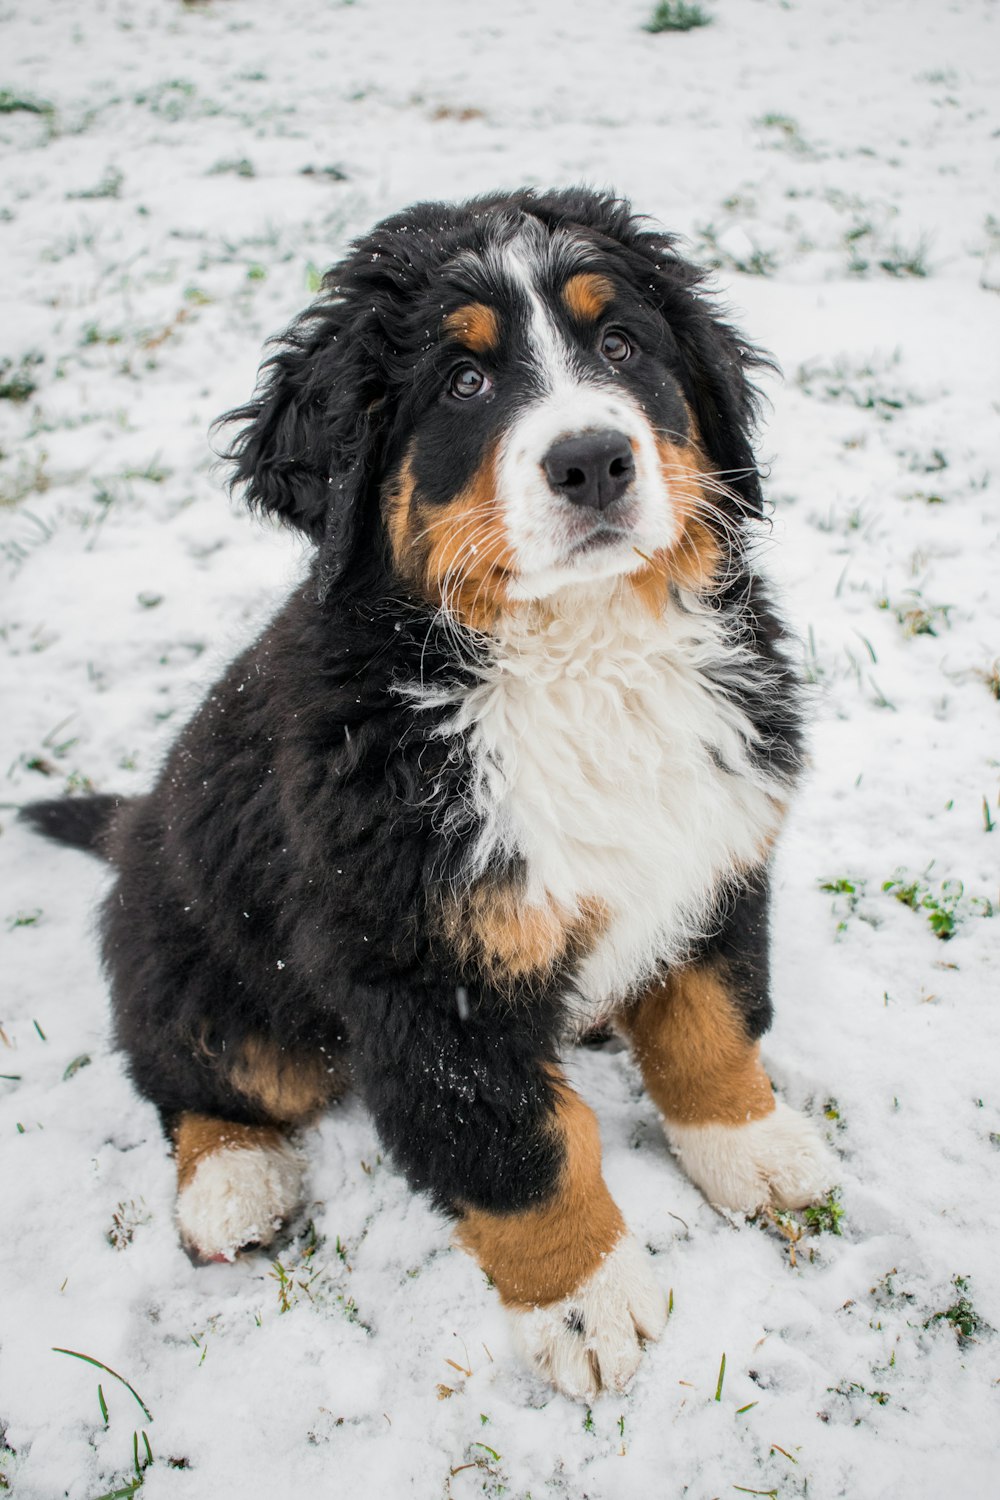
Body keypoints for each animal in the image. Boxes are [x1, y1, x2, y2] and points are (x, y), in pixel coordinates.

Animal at [25, 190, 839, 1404]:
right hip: (211, 976)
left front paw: (751, 1145)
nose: (593, 460)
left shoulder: (713, 850)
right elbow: (524, 1150)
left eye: (619, 346)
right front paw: (585, 1302)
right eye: (462, 382)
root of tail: (128, 836)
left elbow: (711, 1021)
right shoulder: (422, 967)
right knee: (186, 1070)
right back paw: (234, 1181)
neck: (579, 657)